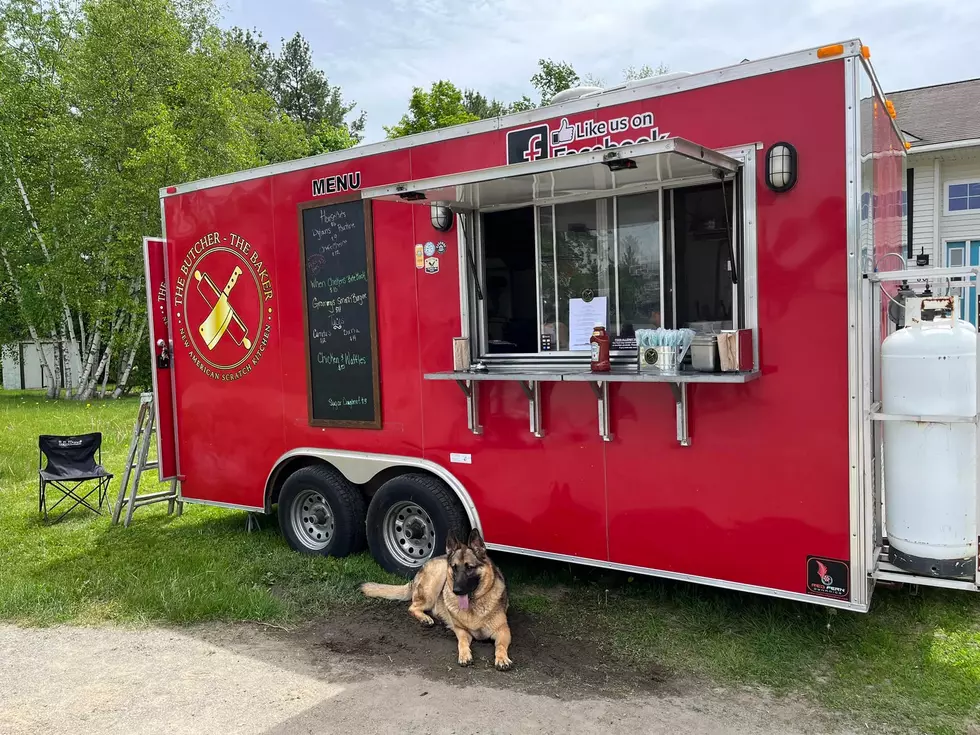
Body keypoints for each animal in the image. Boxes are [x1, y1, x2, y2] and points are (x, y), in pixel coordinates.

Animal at [360, 528, 512, 672]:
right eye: (454, 568)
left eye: (469, 567)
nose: (456, 590)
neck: (474, 604)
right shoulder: (461, 630)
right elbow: (462, 642)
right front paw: (464, 655)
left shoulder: (503, 630)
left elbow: (500, 646)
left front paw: (502, 659)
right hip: (436, 580)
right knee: (412, 607)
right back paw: (425, 618)